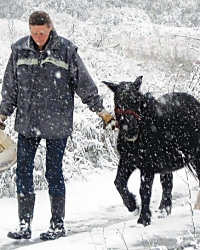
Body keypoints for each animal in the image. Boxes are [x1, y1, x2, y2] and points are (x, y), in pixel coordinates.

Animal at [103, 76, 200, 227]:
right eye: (117, 102)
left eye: (136, 101)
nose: (130, 131)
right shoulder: (127, 161)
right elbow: (119, 182)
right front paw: (132, 206)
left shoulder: (147, 166)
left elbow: (144, 190)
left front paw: (143, 219)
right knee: (167, 183)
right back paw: (163, 210)